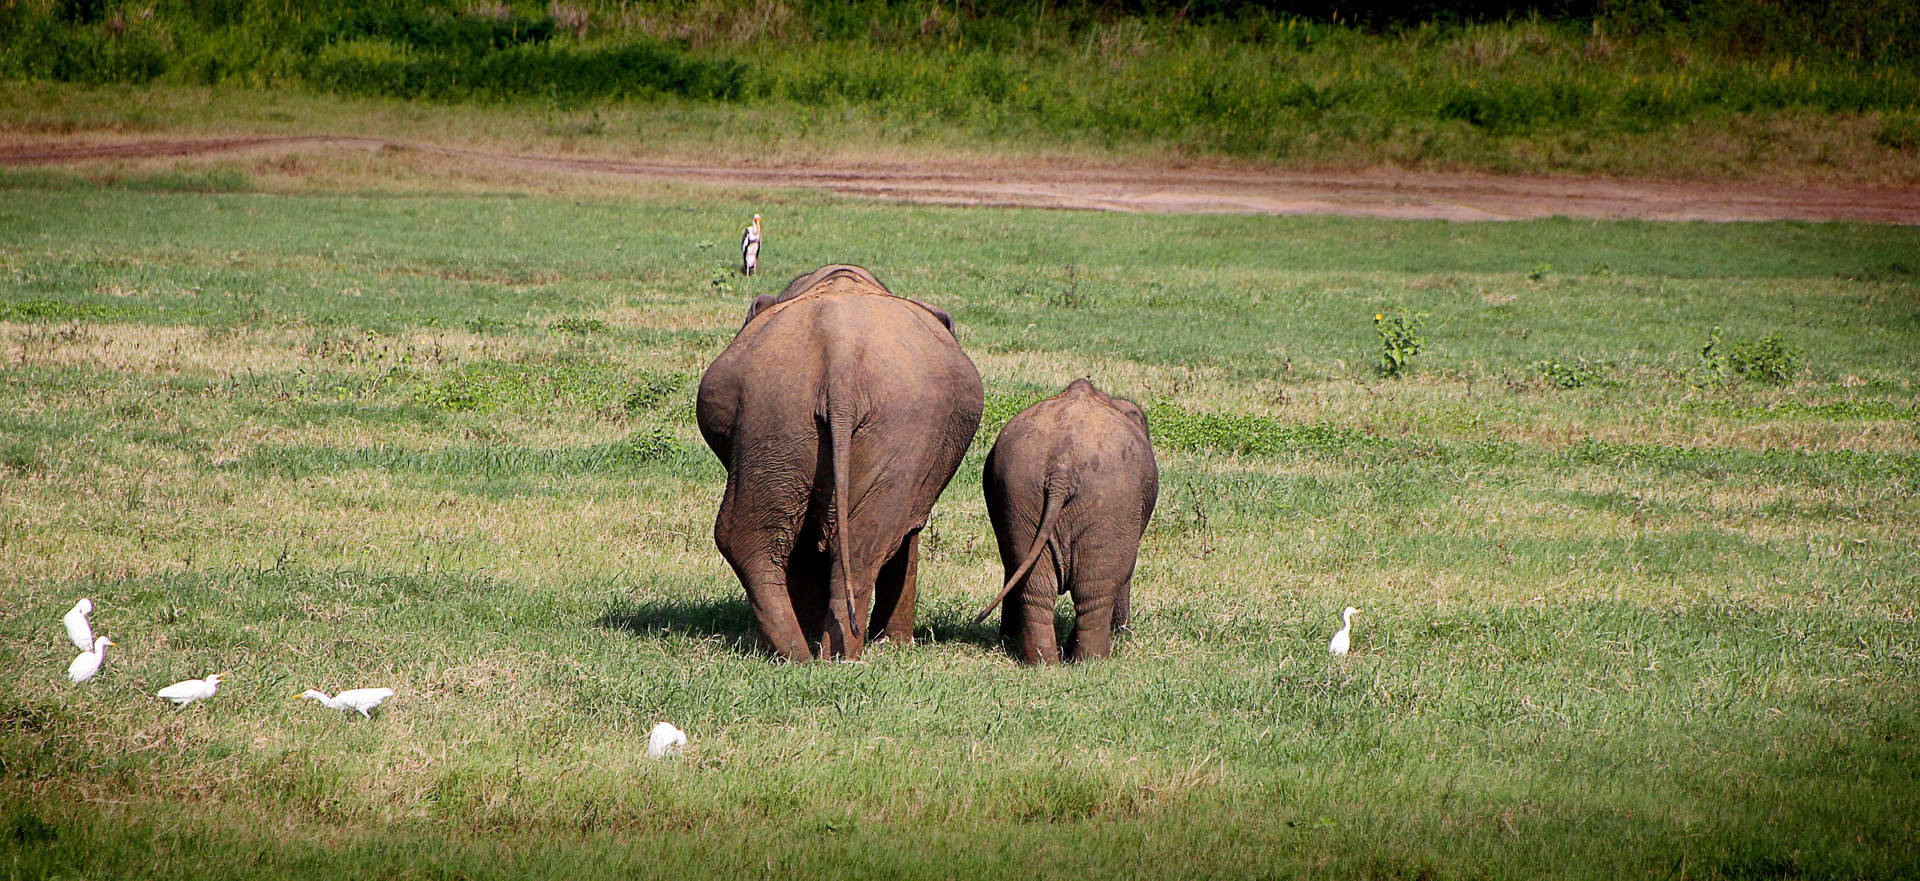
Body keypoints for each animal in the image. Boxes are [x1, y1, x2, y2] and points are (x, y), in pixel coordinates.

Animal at [975, 380, 1152, 660]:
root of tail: (1062, 467)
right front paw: (1122, 634)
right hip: (1112, 502)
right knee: (1094, 591)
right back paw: (1092, 661)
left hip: (1020, 493)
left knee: (1034, 586)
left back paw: (1043, 662)